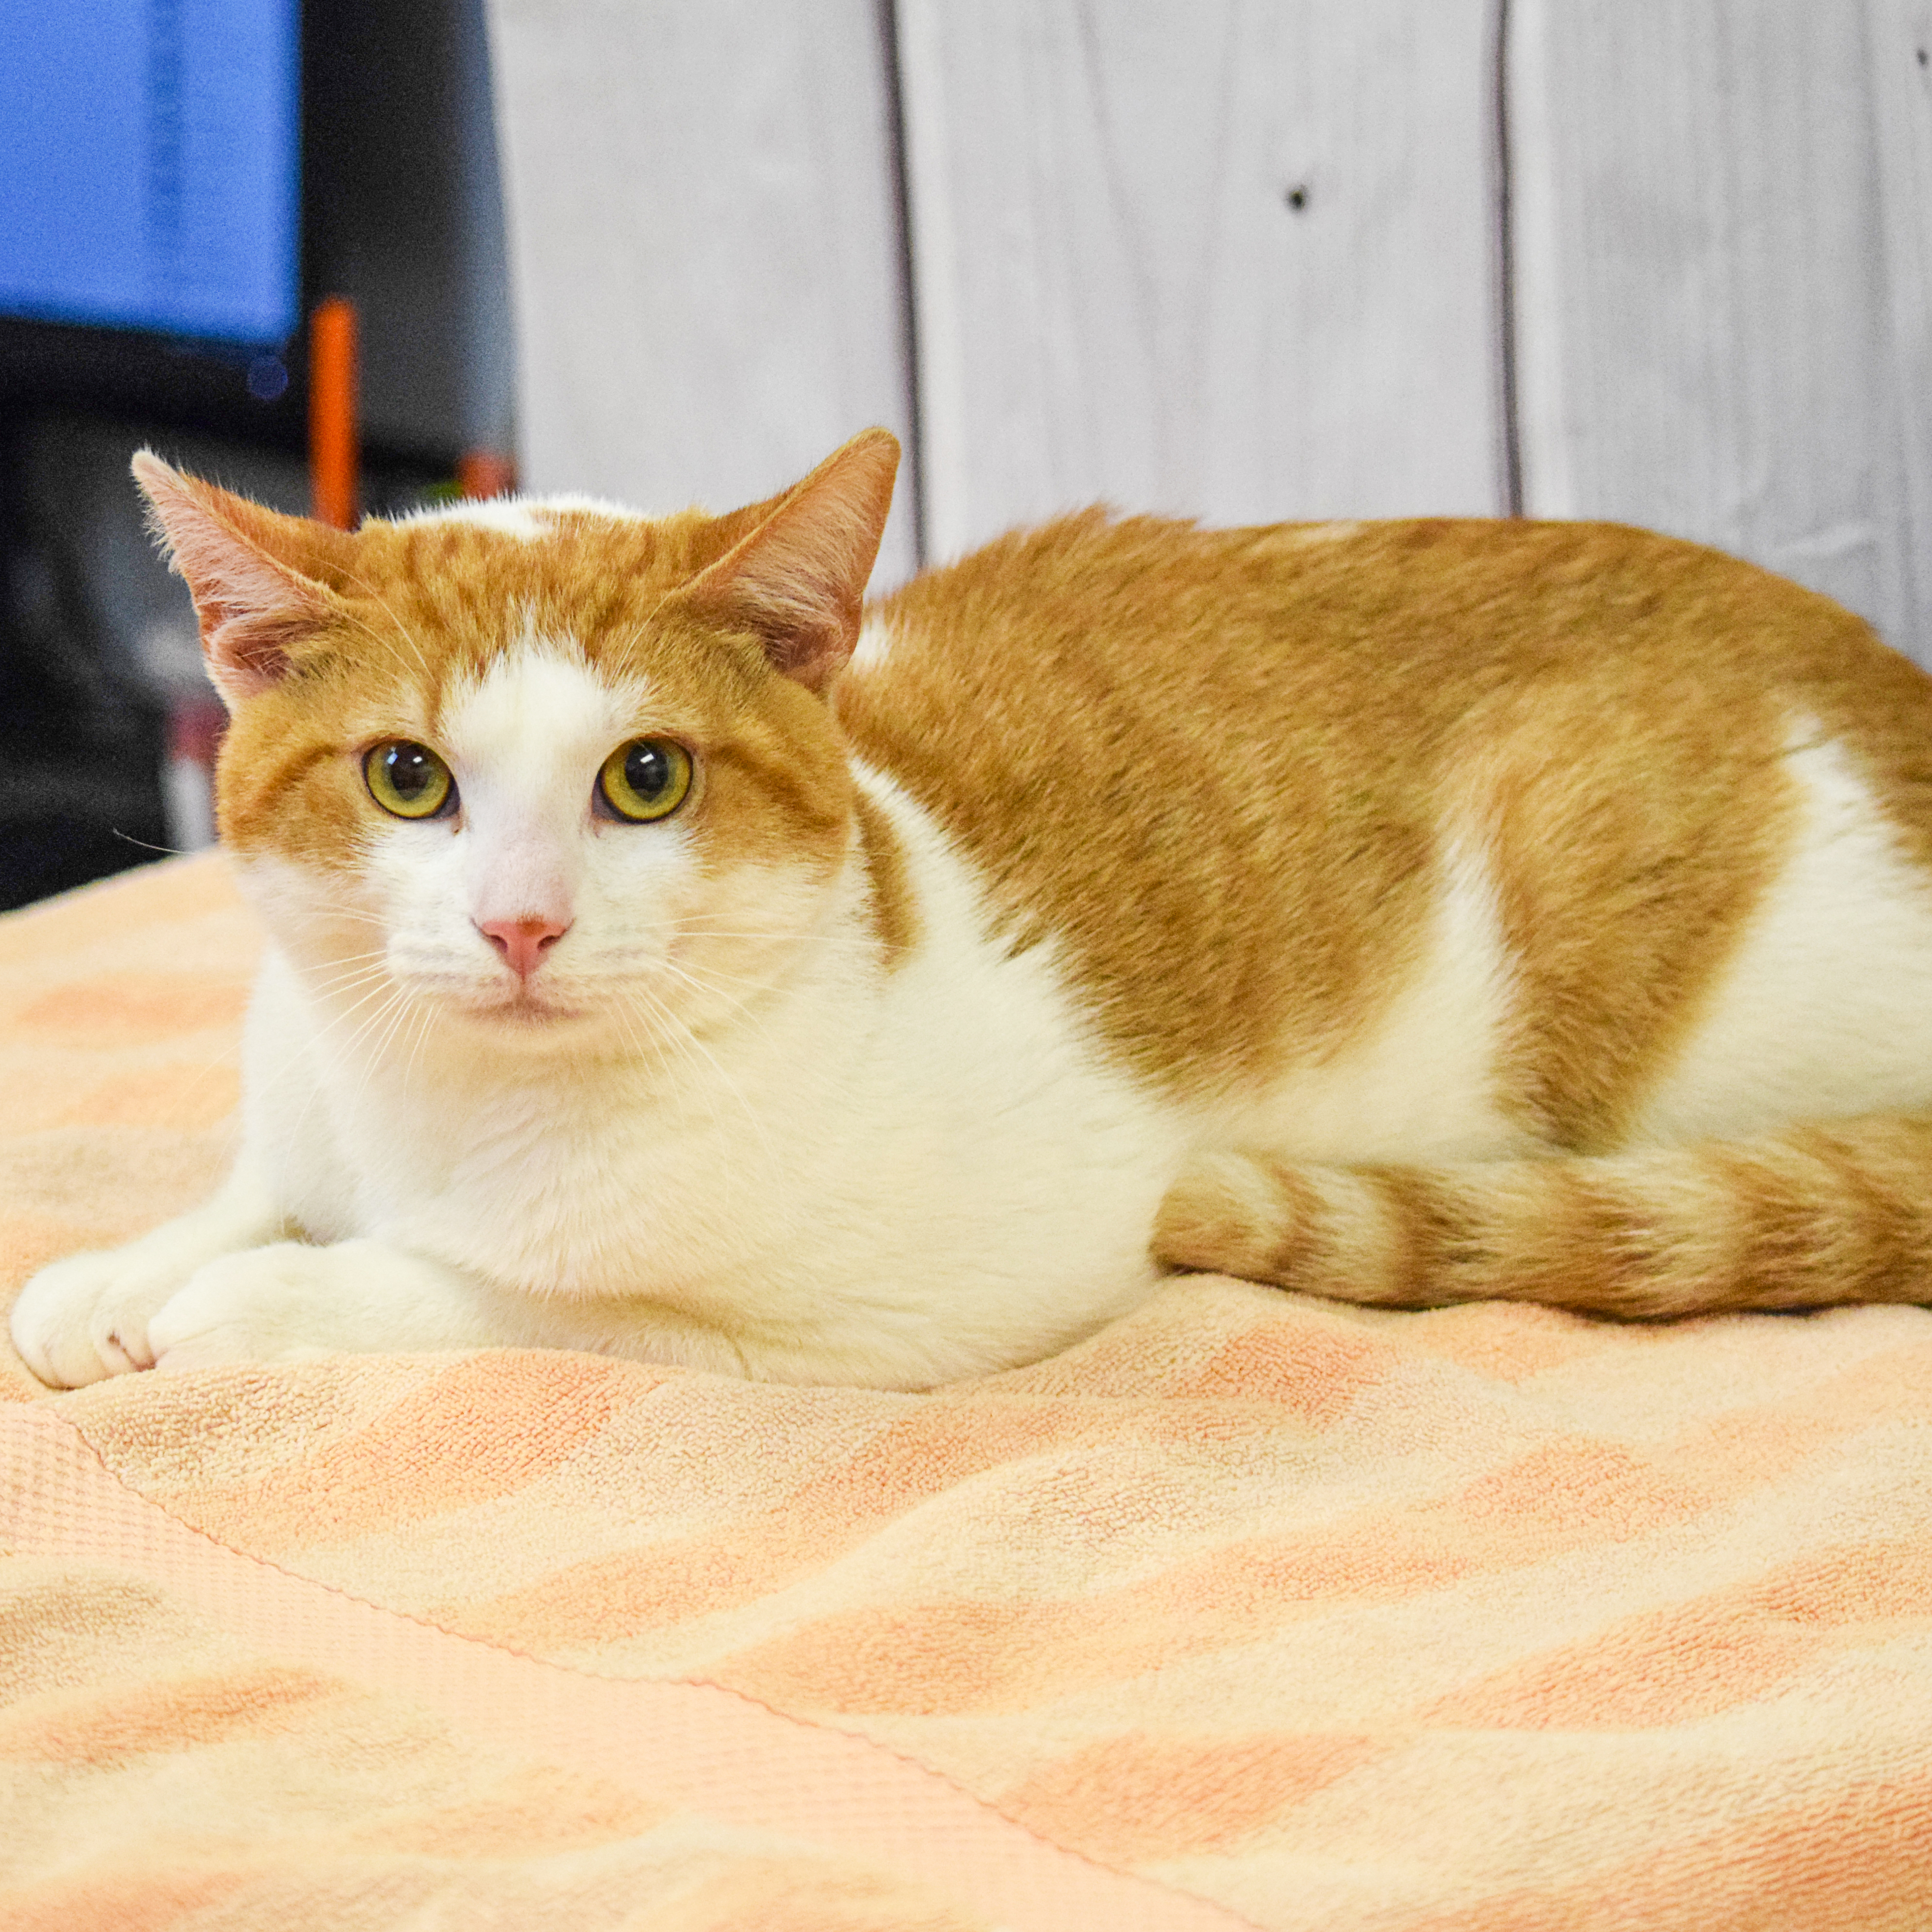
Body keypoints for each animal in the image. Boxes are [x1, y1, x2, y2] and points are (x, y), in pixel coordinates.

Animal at [11, 429, 1932, 1383]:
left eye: (646, 778)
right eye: (408, 778)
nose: (520, 926)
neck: (432, 1104)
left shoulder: (931, 1296)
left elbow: (515, 1299)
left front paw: (251, 1306)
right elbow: (252, 1191)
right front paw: (125, 1269)